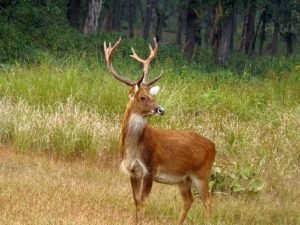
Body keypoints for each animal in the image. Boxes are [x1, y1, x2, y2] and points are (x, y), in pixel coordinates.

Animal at [103, 37, 216, 224]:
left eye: (153, 96)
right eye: (143, 97)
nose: (161, 110)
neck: (134, 149)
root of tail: (214, 146)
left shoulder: (151, 168)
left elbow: (143, 201)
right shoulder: (133, 171)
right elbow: (136, 201)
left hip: (202, 173)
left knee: (207, 201)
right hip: (183, 178)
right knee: (189, 200)